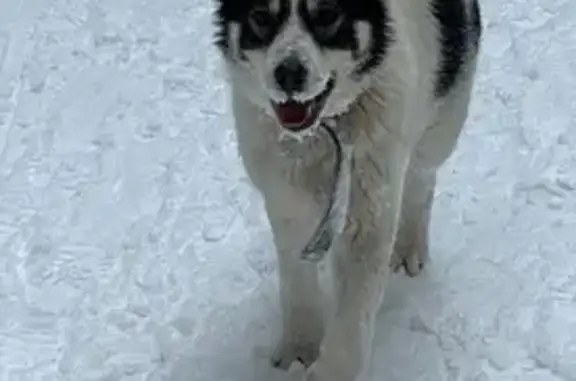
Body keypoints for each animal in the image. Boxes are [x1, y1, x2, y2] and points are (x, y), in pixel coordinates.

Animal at [212, 1, 482, 378]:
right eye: (261, 18)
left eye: (327, 16)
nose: (288, 73)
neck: (323, 128)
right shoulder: (287, 201)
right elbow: (297, 278)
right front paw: (299, 350)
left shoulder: (368, 209)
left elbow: (353, 312)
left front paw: (332, 371)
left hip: (444, 115)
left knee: (421, 176)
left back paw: (409, 248)